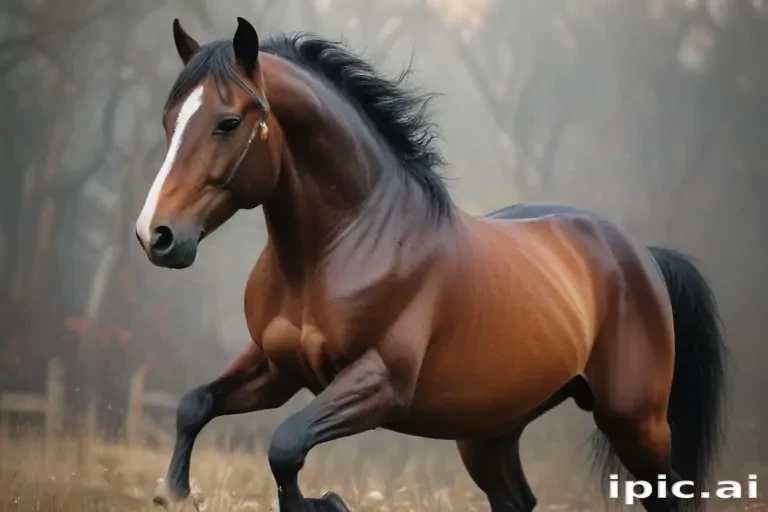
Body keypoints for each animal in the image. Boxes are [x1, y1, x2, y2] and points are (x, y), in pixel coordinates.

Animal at [134, 17, 727, 512]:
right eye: (169, 119)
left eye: (228, 122)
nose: (155, 236)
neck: (335, 250)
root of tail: (642, 255)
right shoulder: (277, 369)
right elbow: (194, 405)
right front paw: (173, 491)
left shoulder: (379, 383)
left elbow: (285, 445)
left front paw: (328, 503)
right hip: (489, 430)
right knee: (516, 499)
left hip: (634, 422)